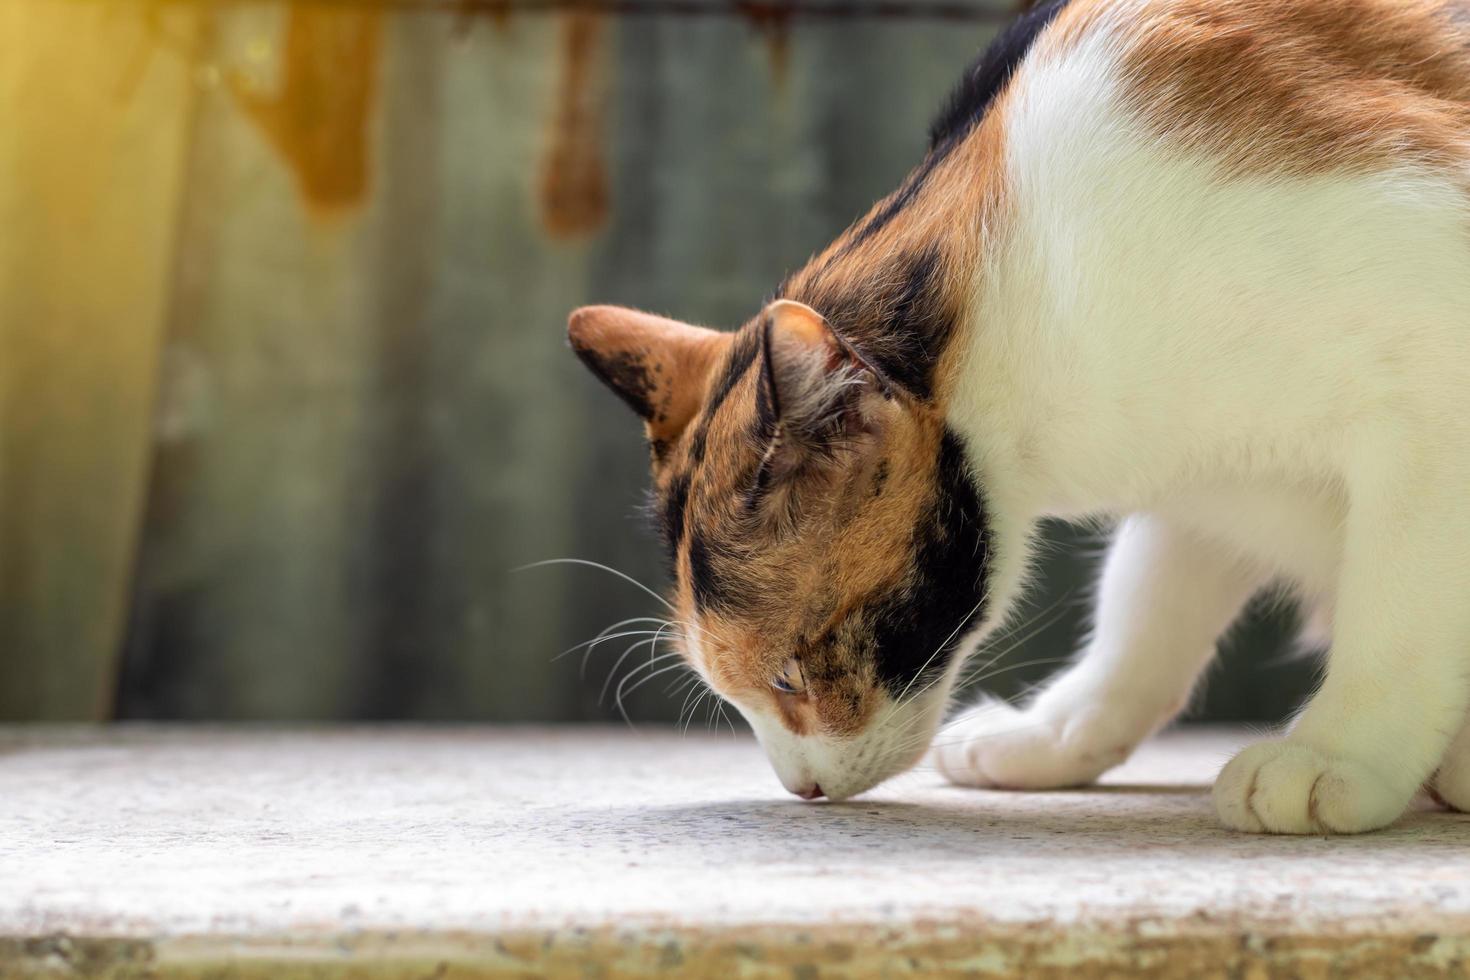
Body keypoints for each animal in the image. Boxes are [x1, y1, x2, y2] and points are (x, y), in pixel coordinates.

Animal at [564, 0, 1470, 834]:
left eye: (791, 674)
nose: (803, 787)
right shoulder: (1209, 480)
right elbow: (1146, 611)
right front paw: (1055, 733)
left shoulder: (1430, 395)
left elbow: (1394, 613)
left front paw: (1339, 752)